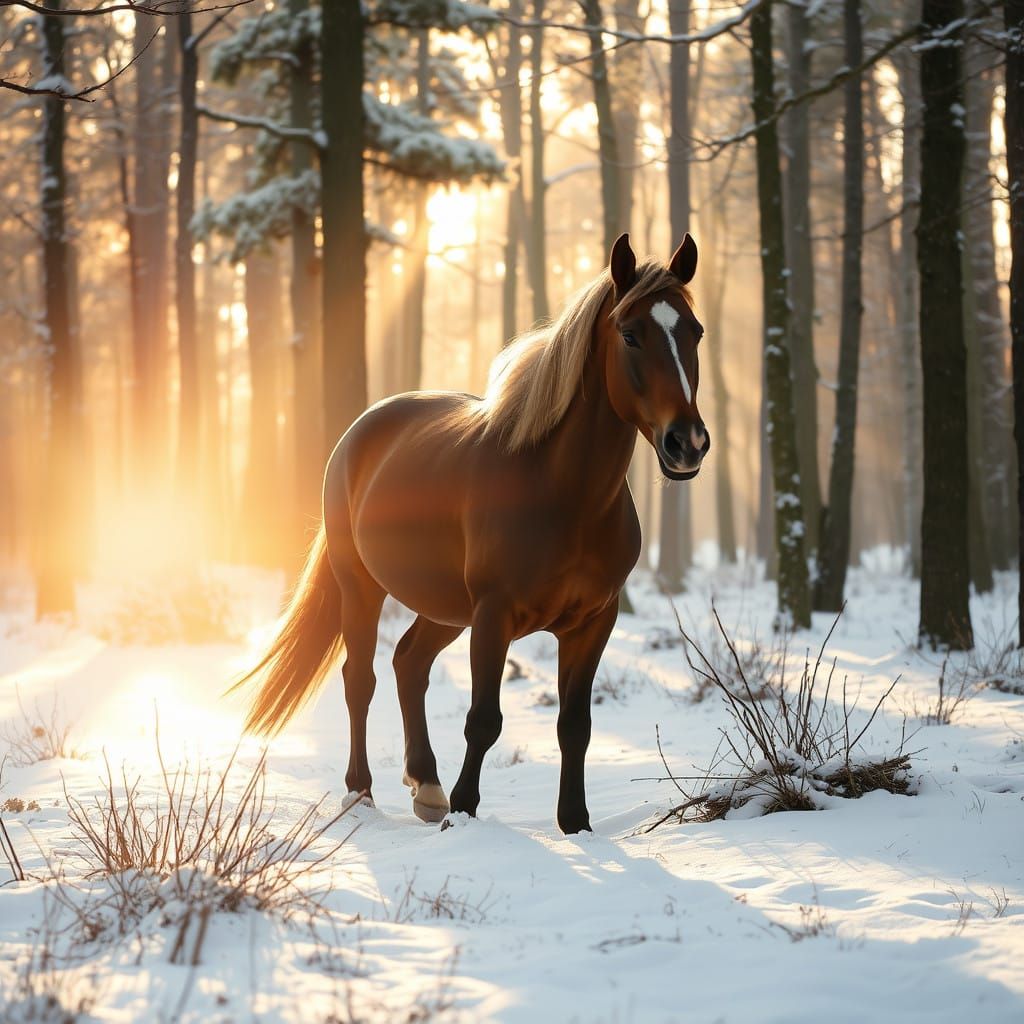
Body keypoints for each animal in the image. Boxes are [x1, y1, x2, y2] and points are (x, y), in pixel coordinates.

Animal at [234, 232, 709, 834]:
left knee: (409, 663)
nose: (687, 443)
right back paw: (361, 793)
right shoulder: (493, 614)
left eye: (694, 331)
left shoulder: (594, 622)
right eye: (630, 334)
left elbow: (575, 725)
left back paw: (426, 785)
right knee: (360, 678)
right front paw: (464, 811)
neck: (561, 494)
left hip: (444, 607)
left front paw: (575, 823)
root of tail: (358, 434)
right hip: (362, 587)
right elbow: (484, 719)